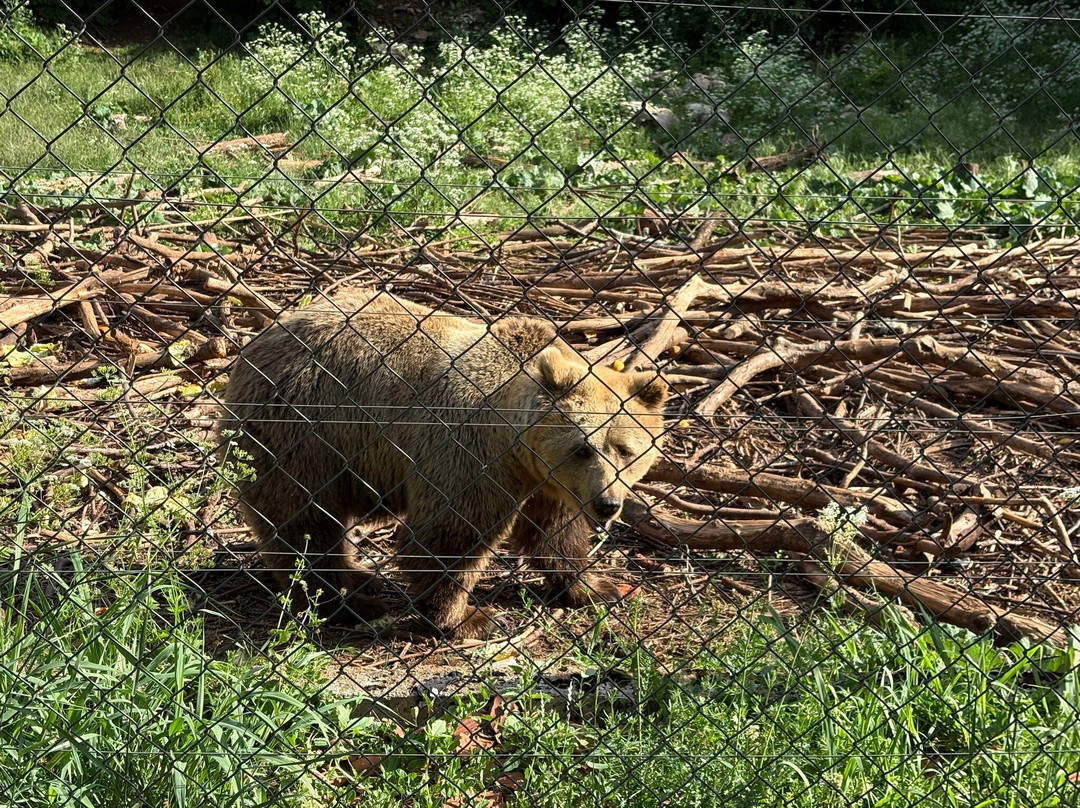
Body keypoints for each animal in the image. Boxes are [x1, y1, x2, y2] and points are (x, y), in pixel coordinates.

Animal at [219, 288, 668, 639]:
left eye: (625, 450)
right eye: (582, 448)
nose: (607, 504)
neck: (514, 441)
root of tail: (258, 343)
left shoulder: (549, 481)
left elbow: (556, 530)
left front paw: (594, 587)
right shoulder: (467, 453)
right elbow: (451, 535)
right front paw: (467, 617)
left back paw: (358, 577)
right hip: (305, 429)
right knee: (303, 520)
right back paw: (344, 603)